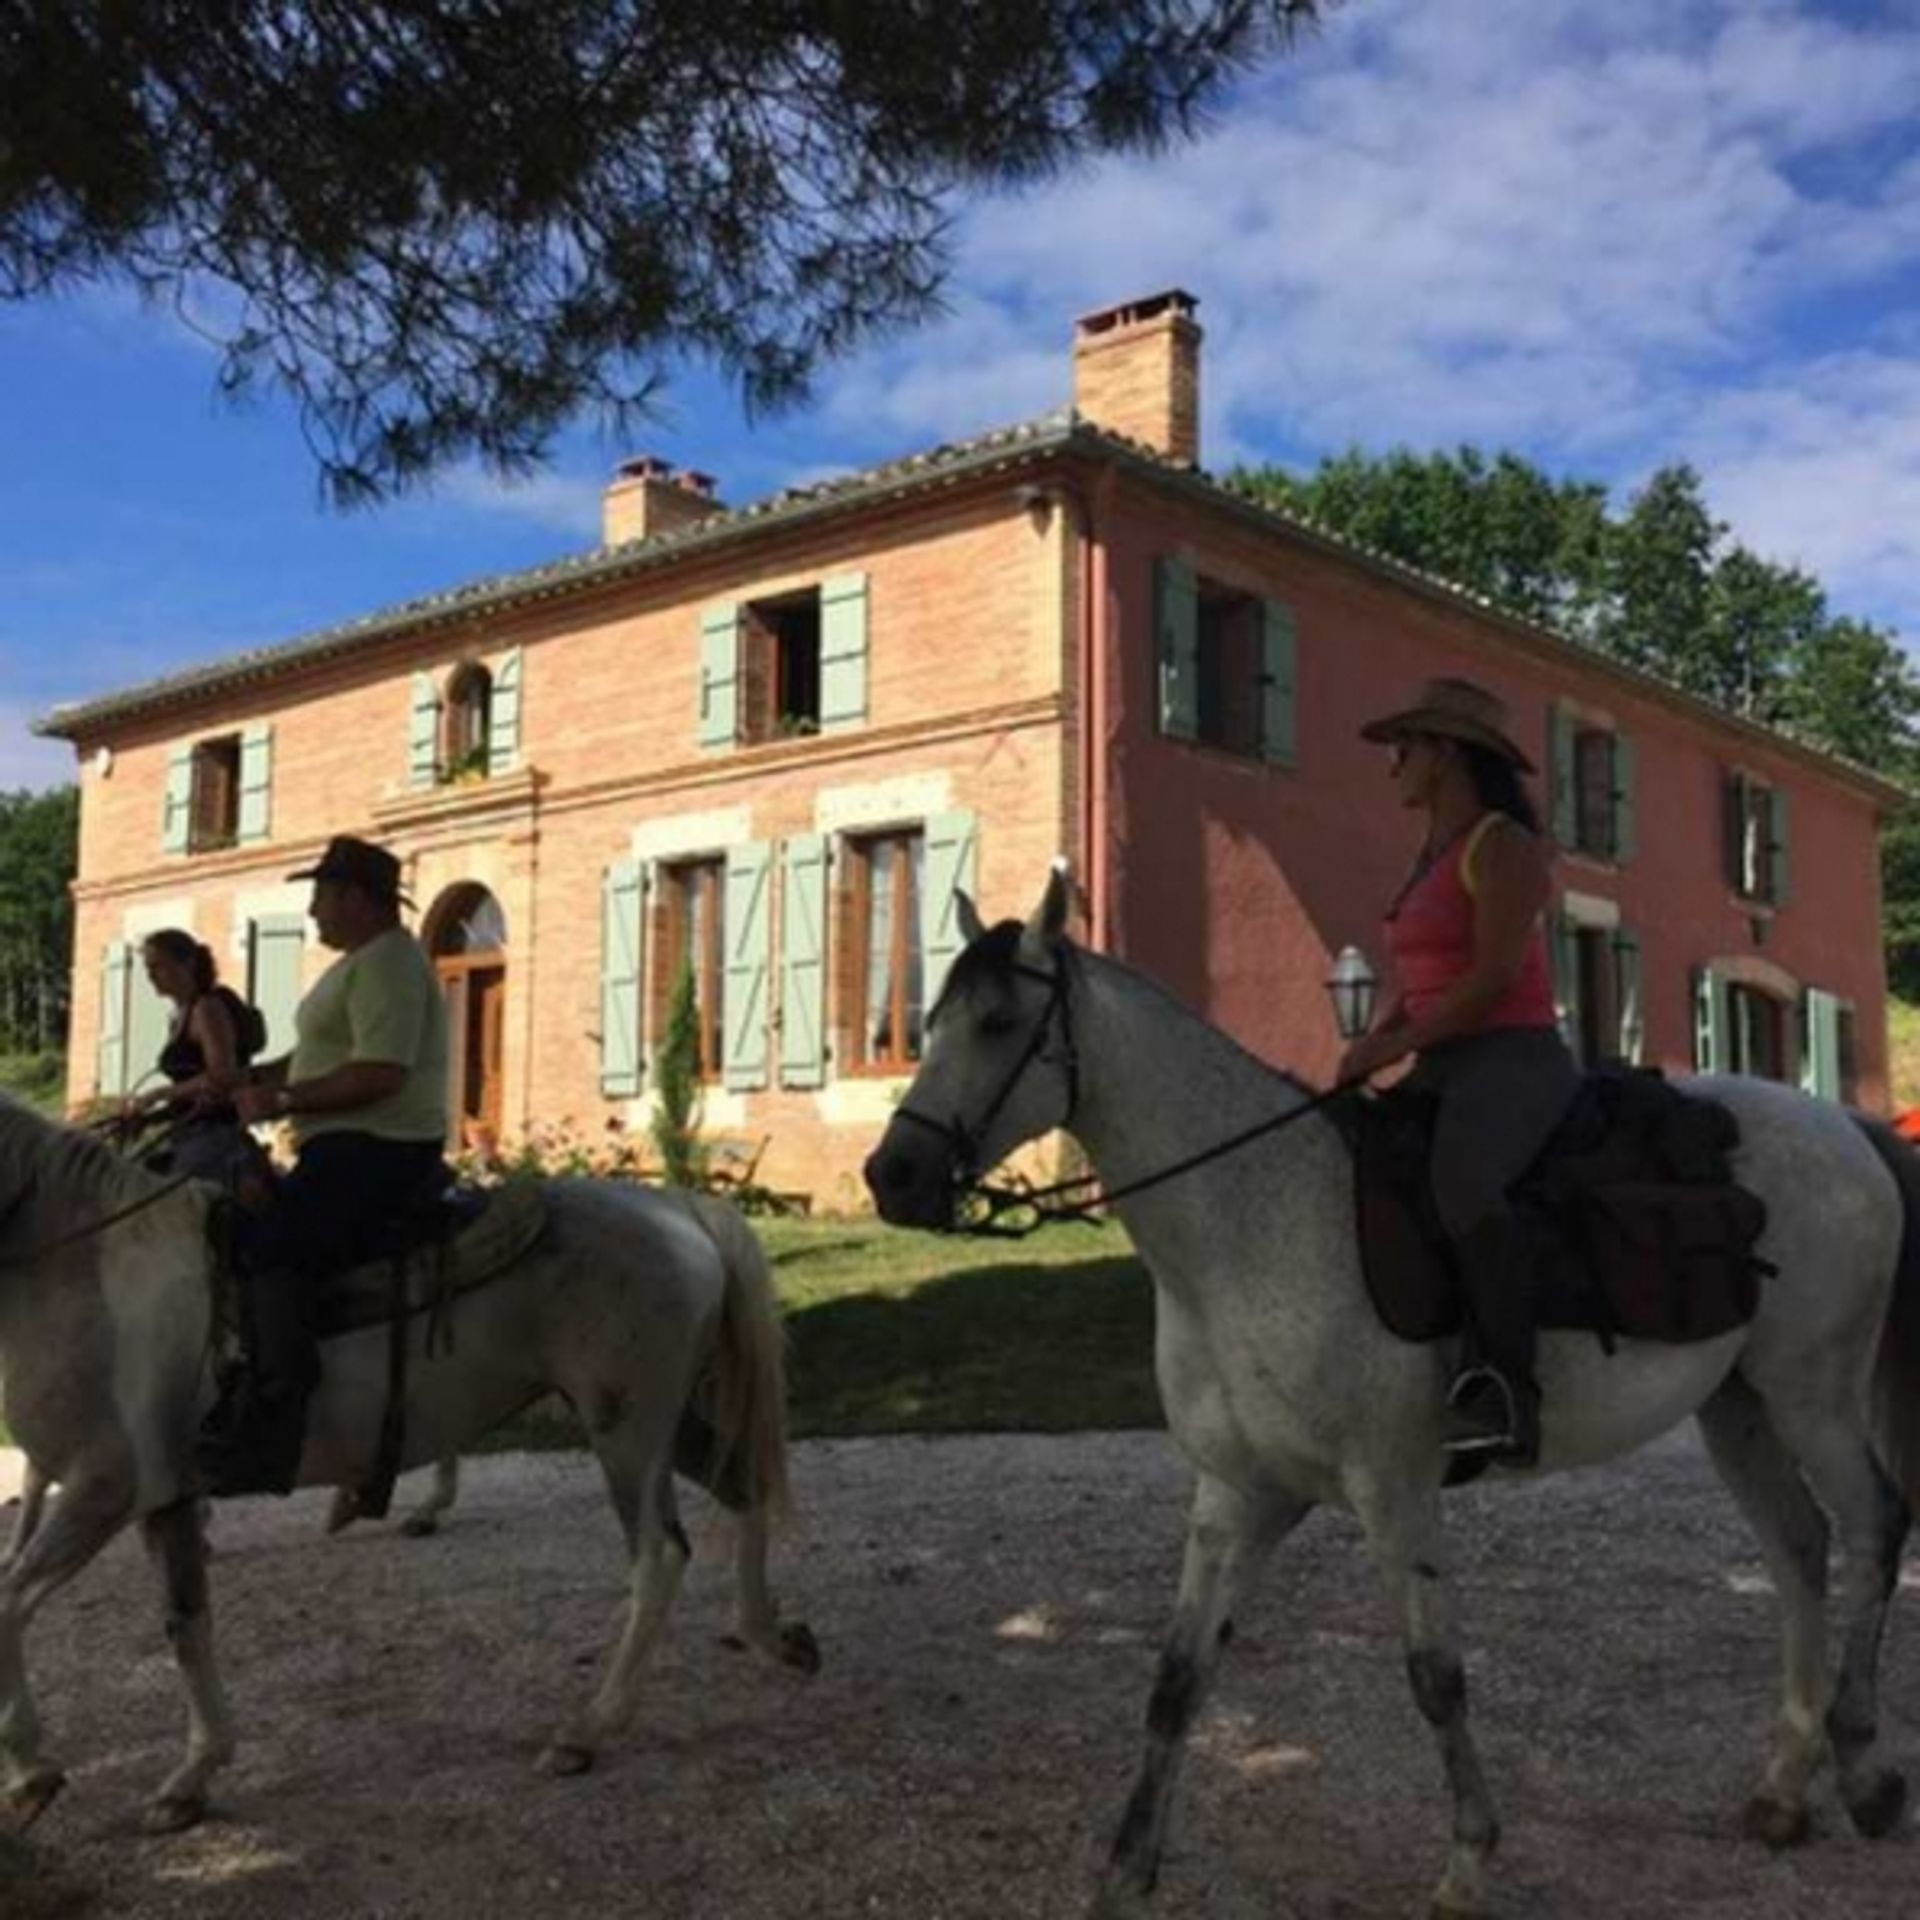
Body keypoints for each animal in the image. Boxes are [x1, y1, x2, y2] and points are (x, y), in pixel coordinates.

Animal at [0, 1098, 817, 1827]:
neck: (85, 1266)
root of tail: (681, 1209)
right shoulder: (164, 1499)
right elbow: (187, 1628)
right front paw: (192, 1778)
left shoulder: (106, 1487)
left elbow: (9, 1602)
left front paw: (33, 1774)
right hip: (663, 1423)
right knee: (744, 1489)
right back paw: (770, 1636)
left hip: (627, 1431)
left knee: (659, 1558)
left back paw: (587, 1731)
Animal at [871, 871, 1920, 1920]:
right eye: (932, 1021)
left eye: (999, 1022)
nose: (893, 1174)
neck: (1252, 1219)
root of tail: (1843, 1128)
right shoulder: (1235, 1492)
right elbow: (1177, 1680)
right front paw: (1126, 1873)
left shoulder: (1394, 1488)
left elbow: (1435, 1678)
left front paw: (1468, 1861)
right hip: (1737, 1406)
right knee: (1799, 1547)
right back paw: (1784, 1789)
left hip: (1813, 1394)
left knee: (1872, 1526)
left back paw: (1864, 1770)